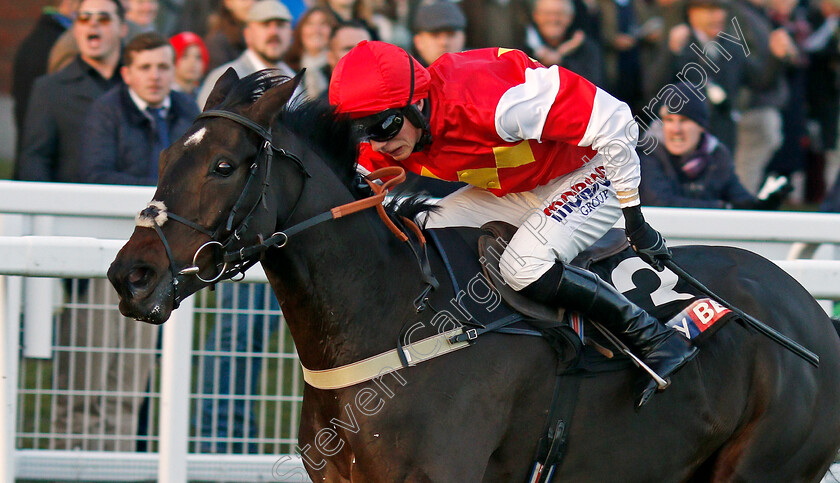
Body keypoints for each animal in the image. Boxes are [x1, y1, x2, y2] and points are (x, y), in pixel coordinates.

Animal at [108, 70, 840, 482]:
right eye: (168, 156)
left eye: (223, 166)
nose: (130, 276)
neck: (394, 324)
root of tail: (815, 319)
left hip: (764, 466)